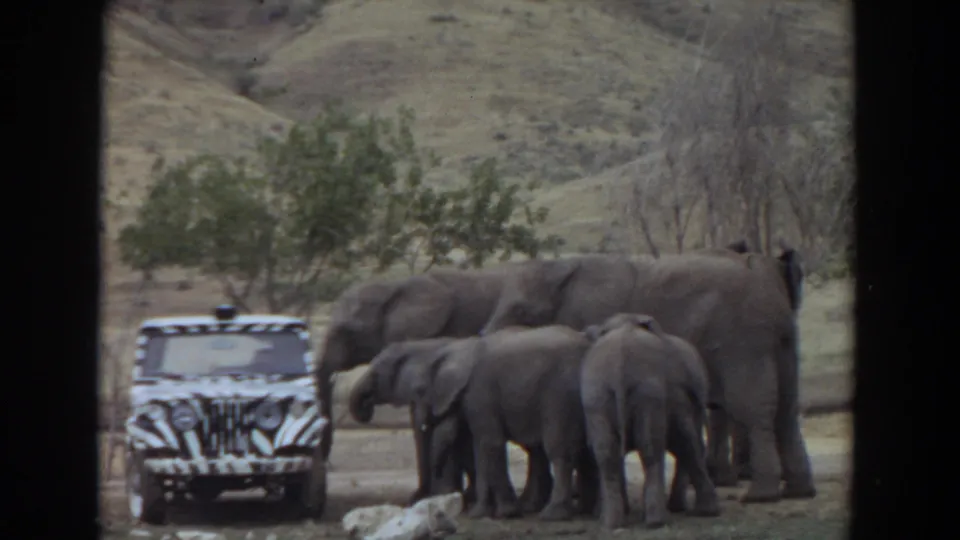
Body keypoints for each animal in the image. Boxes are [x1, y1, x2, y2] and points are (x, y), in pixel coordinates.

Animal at [479, 252, 817, 504]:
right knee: (786, 410)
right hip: (782, 341)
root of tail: (769, 281)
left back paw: (760, 496)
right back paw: (799, 492)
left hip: (743, 340)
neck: (562, 269)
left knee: (754, 410)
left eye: (522, 312)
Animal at [581, 313, 720, 529]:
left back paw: (618, 523)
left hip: (607, 395)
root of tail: (619, 366)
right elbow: (683, 439)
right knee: (650, 448)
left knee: (612, 452)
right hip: (632, 393)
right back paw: (655, 520)